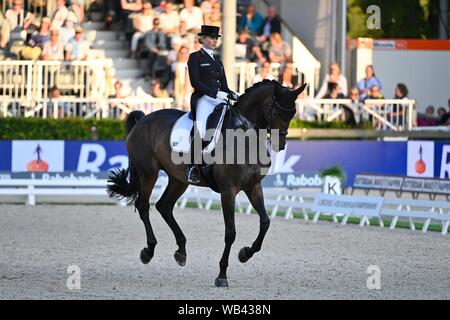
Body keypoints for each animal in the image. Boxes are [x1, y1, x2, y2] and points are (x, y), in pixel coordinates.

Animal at [107, 80, 308, 288]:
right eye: (276, 112)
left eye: (292, 113)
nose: (280, 145)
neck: (244, 138)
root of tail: (143, 120)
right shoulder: (228, 191)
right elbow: (230, 233)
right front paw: (222, 275)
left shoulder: (253, 187)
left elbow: (265, 222)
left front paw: (245, 253)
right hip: (148, 173)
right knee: (143, 206)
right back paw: (149, 251)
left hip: (178, 179)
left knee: (164, 206)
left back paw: (181, 251)